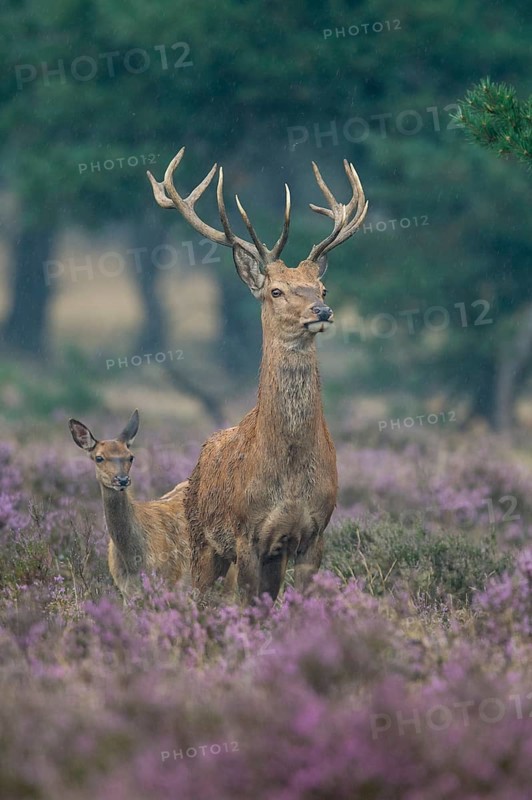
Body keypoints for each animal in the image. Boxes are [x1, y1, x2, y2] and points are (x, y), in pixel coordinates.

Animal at [69, 410, 190, 598]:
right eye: (99, 458)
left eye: (131, 456)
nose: (122, 479)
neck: (134, 562)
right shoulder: (126, 589)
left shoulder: (171, 579)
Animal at [147, 148, 368, 602]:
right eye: (275, 291)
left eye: (322, 289)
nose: (322, 311)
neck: (289, 476)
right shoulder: (246, 533)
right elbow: (246, 602)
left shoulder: (313, 534)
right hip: (203, 541)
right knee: (201, 594)